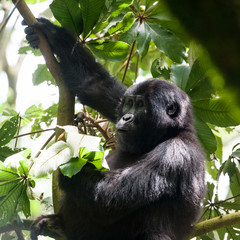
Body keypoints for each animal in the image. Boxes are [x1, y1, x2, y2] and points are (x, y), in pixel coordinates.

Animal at [23, 17, 205, 239]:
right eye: (129, 103)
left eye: (141, 105)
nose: (126, 117)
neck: (169, 132)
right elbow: (95, 85)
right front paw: (52, 33)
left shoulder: (175, 152)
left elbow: (108, 197)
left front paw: (69, 165)